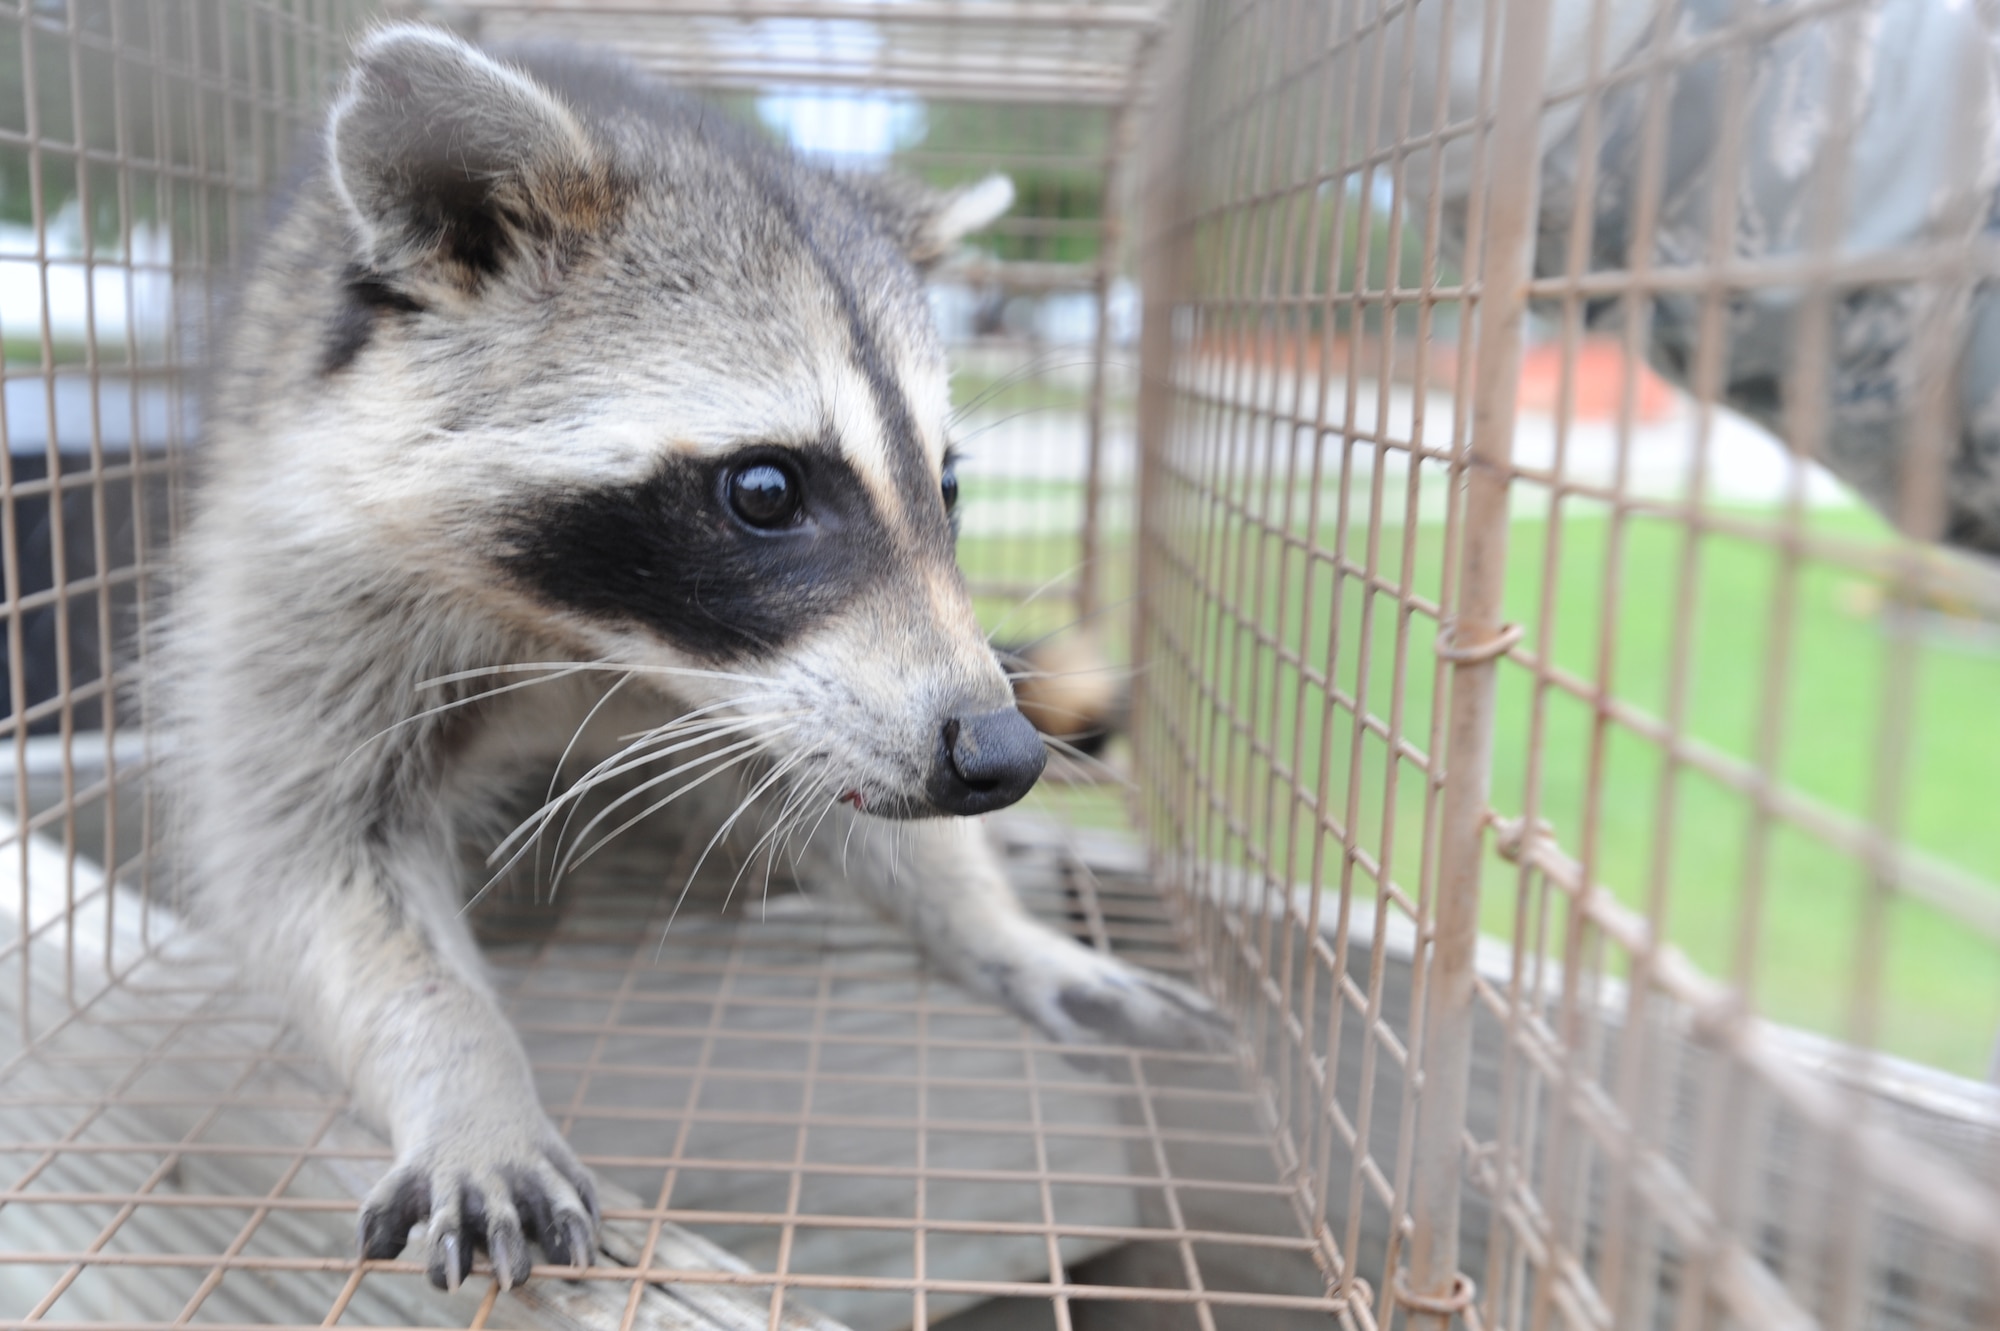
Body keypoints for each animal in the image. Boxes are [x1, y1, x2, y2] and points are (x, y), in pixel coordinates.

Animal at [161, 25, 1228, 1292]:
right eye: (764, 488)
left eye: (949, 483)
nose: (1002, 753)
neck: (588, 633)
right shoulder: (310, 560)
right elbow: (308, 853)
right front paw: (467, 1076)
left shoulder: (803, 690)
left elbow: (843, 787)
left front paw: (993, 920)